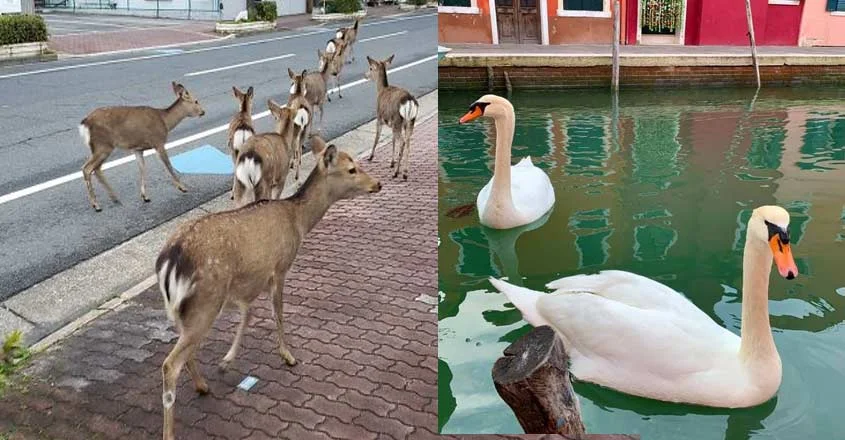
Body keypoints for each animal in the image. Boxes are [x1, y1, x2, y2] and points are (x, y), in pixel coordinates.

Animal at [78, 83, 207, 213]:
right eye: (196, 101)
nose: (203, 112)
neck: (165, 122)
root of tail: (85, 123)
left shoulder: (138, 149)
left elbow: (142, 168)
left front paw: (145, 196)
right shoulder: (158, 141)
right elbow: (168, 164)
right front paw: (183, 187)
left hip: (99, 147)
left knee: (97, 169)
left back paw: (115, 198)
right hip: (103, 145)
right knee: (87, 168)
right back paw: (96, 205)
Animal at [156, 133, 382, 440]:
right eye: (351, 169)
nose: (377, 184)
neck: (298, 221)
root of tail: (169, 261)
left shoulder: (249, 279)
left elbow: (248, 315)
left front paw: (227, 361)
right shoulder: (279, 267)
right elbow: (278, 313)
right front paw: (288, 356)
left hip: (186, 309)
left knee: (185, 352)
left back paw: (203, 386)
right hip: (206, 302)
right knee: (170, 364)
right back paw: (171, 429)